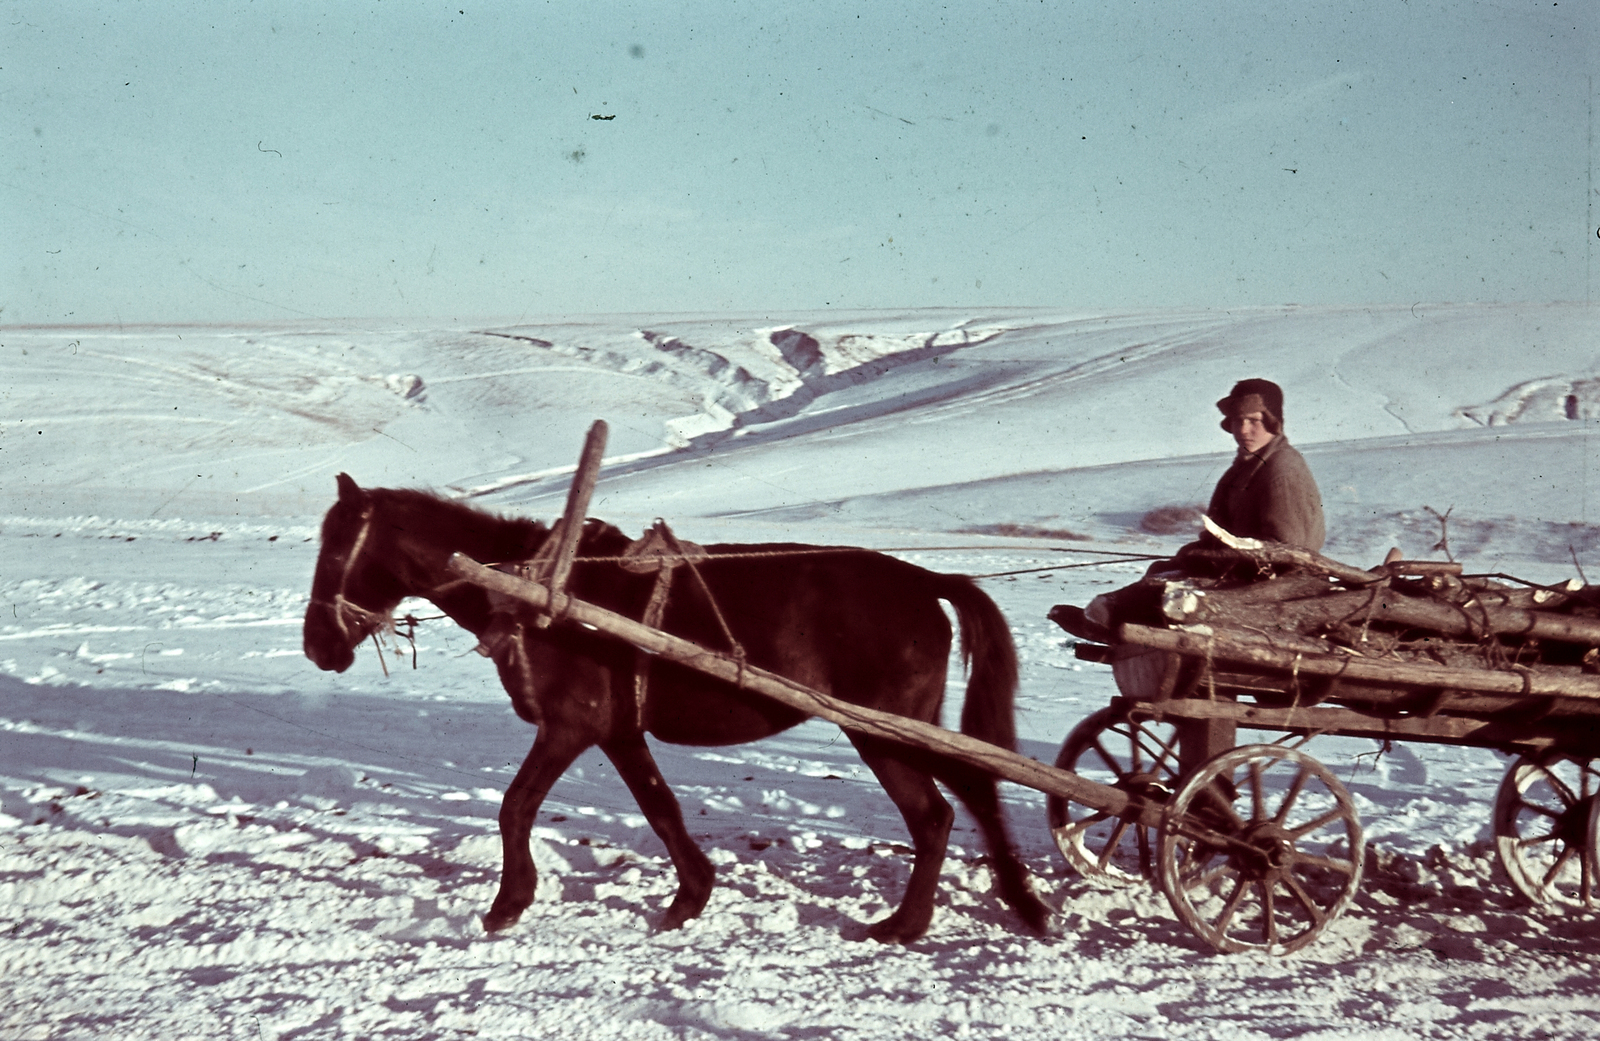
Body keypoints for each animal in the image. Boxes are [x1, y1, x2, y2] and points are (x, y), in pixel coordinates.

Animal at [302, 473, 1049, 946]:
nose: (316, 645)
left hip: (880, 728)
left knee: (938, 813)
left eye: (337, 550)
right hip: (900, 726)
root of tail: (926, 579)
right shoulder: (617, 731)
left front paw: (508, 903)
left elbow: (515, 806)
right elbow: (661, 808)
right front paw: (691, 896)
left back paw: (916, 921)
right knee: (969, 796)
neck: (538, 593)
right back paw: (1010, 902)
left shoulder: (570, 726)